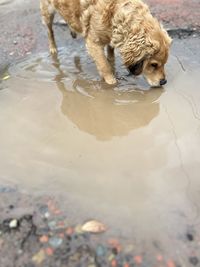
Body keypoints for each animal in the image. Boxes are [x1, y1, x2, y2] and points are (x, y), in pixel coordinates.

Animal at [39, 0, 171, 86]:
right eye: (153, 64)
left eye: (165, 63)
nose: (164, 82)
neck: (115, 13)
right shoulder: (93, 43)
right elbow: (104, 65)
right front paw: (111, 82)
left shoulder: (111, 38)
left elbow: (111, 57)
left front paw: (113, 69)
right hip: (47, 11)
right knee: (49, 31)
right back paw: (53, 48)